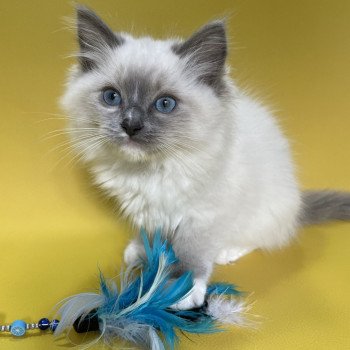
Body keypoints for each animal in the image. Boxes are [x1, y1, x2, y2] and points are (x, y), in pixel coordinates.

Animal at [61, 6, 350, 308]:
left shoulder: (202, 217)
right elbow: (151, 234)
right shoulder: (146, 211)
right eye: (112, 97)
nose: (130, 125)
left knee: (263, 235)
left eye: (165, 104)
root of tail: (298, 203)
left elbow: (191, 253)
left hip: (263, 211)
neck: (150, 171)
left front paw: (181, 290)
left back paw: (227, 251)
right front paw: (143, 251)